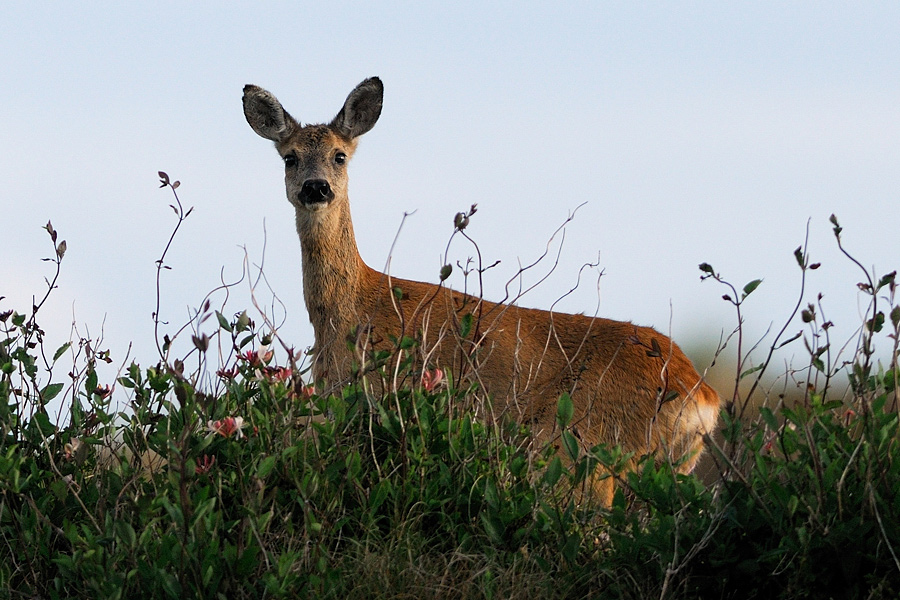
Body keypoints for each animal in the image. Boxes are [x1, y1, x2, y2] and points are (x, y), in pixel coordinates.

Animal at [242, 77, 721, 504]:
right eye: (289, 158)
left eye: (339, 156)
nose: (315, 187)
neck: (350, 313)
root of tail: (702, 394)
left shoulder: (375, 401)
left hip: (583, 444)